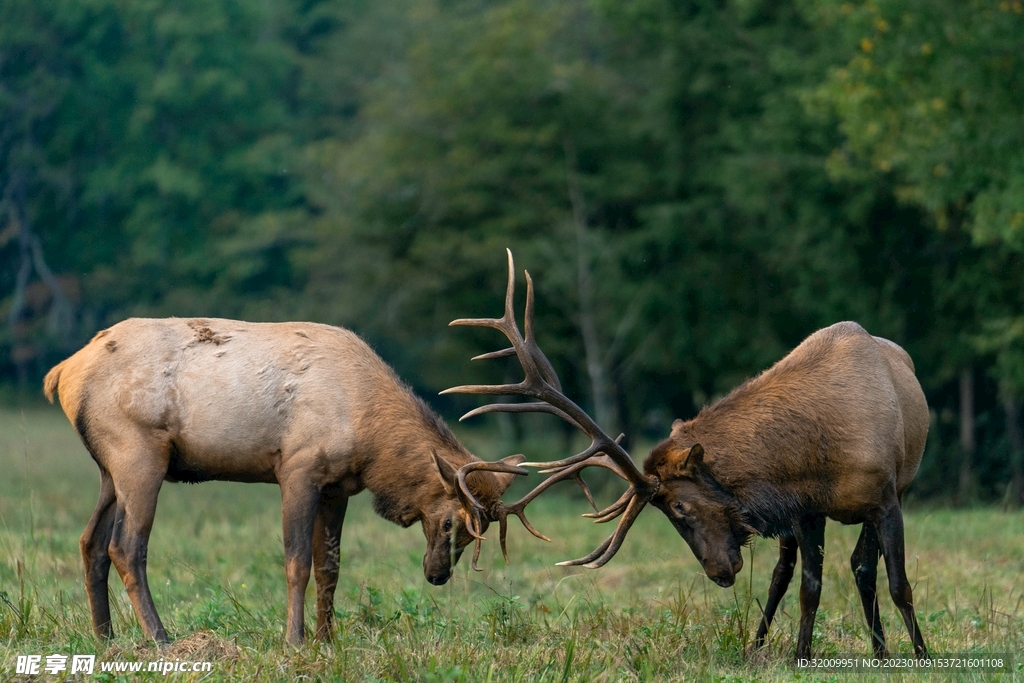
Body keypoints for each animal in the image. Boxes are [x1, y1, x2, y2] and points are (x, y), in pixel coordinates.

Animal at [43, 318, 525, 646]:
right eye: (450, 522)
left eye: (473, 532)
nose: (437, 575)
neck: (369, 438)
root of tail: (61, 373)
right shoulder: (297, 469)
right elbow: (297, 562)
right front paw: (294, 638)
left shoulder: (337, 487)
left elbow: (330, 565)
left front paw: (327, 638)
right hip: (138, 454)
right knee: (125, 546)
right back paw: (161, 639)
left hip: (109, 469)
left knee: (90, 541)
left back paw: (105, 636)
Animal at [443, 250, 929, 662]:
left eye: (679, 506)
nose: (719, 572)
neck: (822, 449)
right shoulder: (807, 510)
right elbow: (810, 586)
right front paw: (801, 656)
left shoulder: (885, 498)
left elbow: (897, 583)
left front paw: (921, 655)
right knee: (784, 572)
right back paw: (762, 646)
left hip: (894, 491)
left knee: (862, 568)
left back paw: (882, 651)